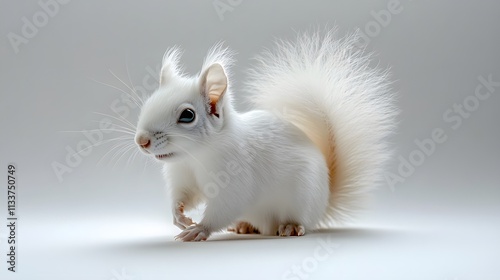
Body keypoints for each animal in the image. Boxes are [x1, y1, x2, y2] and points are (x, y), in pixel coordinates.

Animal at [135, 30, 396, 241]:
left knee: (300, 222)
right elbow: (186, 196)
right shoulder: (184, 176)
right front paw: (179, 215)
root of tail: (324, 203)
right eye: (149, 102)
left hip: (302, 200)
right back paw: (244, 226)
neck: (196, 156)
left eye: (187, 115)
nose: (141, 141)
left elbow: (225, 207)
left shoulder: (236, 180)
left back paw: (290, 227)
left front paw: (200, 229)